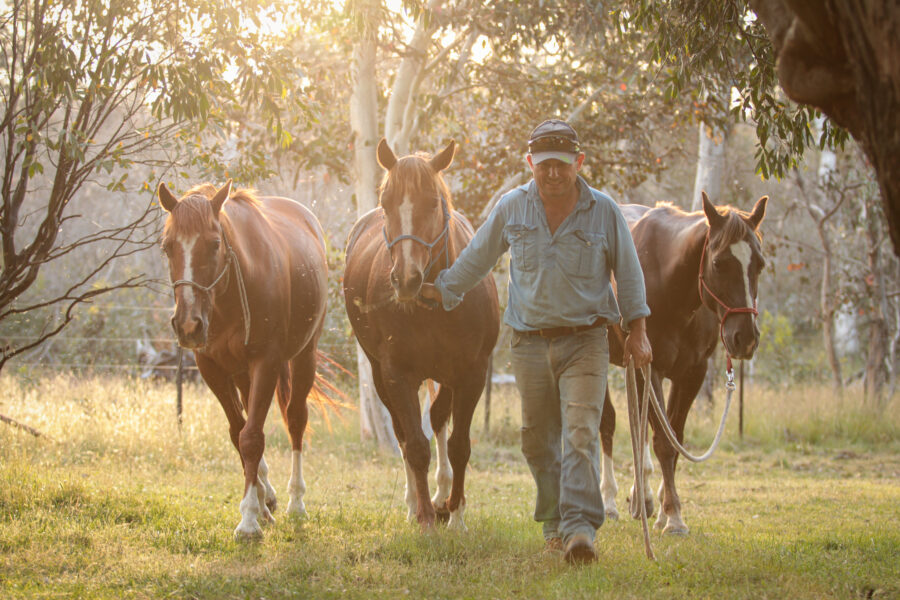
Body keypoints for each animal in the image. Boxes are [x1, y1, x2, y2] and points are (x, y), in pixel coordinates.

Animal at [157, 180, 328, 540]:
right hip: (241, 374)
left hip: (303, 357)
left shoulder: (266, 363)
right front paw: (260, 505)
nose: (188, 325)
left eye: (214, 243)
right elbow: (240, 433)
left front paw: (249, 520)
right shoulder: (212, 369)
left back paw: (295, 502)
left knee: (296, 420)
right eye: (167, 247)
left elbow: (251, 438)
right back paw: (268, 497)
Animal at [342, 138, 500, 530]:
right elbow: (414, 444)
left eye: (431, 201)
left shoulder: (472, 374)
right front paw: (426, 516)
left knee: (440, 420)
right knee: (404, 434)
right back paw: (417, 500)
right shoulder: (397, 375)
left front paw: (455, 513)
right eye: (386, 203)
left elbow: (459, 445)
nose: (405, 279)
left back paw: (443, 495)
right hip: (381, 376)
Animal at [600, 191, 767, 534]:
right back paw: (609, 500)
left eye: (759, 264)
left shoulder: (692, 373)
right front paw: (674, 516)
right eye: (718, 263)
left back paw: (642, 498)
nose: (745, 338)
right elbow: (663, 441)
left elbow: (674, 438)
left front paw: (665, 511)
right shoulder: (647, 368)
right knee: (607, 423)